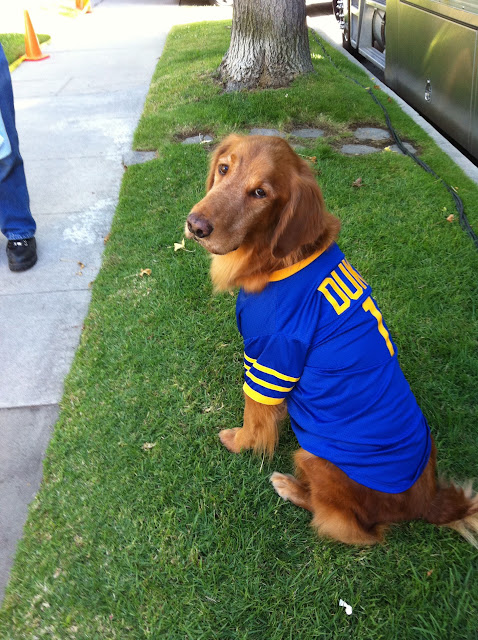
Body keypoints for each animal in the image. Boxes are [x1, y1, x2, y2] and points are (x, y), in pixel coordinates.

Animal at [185, 134, 478, 546]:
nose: (195, 225)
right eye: (224, 168)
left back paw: (291, 488)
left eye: (260, 193)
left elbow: (255, 416)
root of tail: (429, 502)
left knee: (350, 527)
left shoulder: (274, 357)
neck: (278, 258)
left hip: (315, 458)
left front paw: (241, 443)